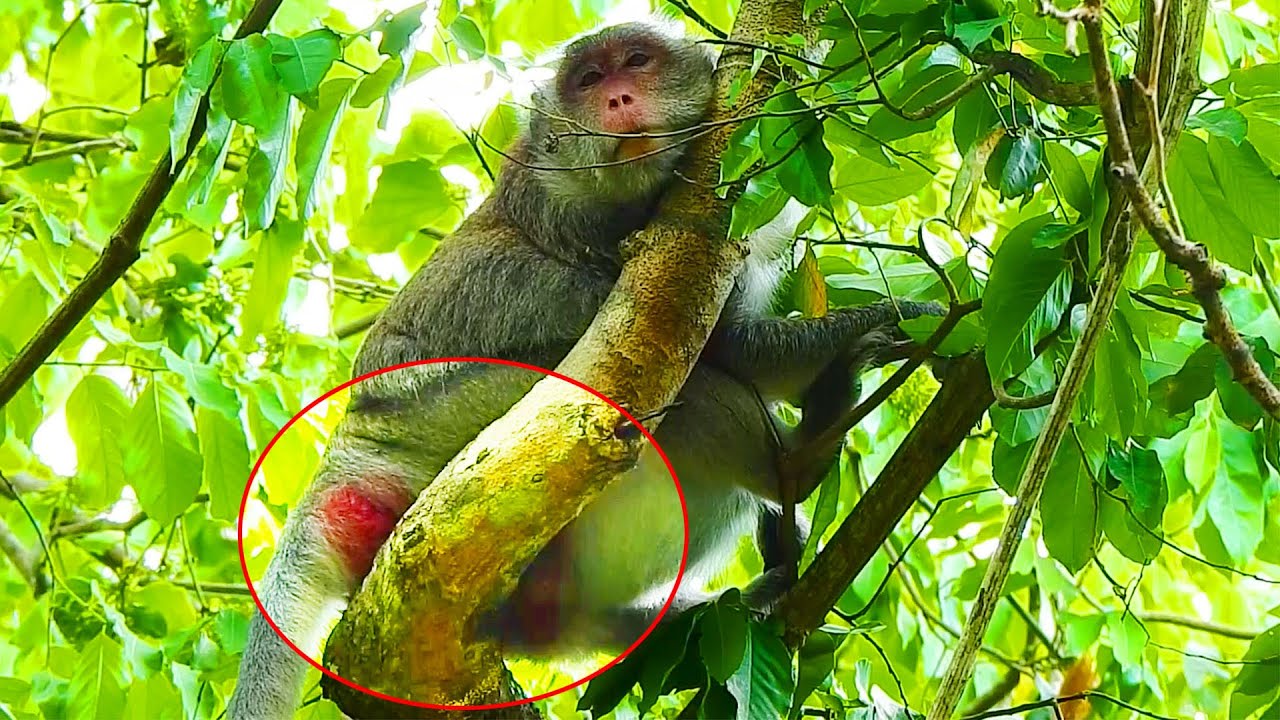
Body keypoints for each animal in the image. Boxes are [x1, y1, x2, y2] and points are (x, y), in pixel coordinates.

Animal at [228, 20, 940, 719]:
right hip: (449, 429)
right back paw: (796, 464)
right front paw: (915, 316)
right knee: (653, 387)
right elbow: (730, 349)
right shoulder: (643, 242)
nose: (618, 98)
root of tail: (342, 462)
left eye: (637, 61)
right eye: (590, 79)